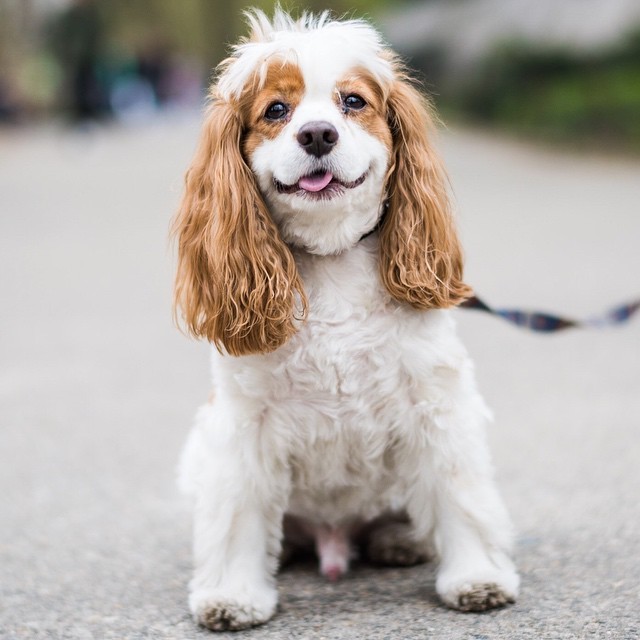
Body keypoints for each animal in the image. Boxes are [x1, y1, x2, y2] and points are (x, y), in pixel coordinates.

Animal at [171, 8, 520, 632]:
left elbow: (461, 496)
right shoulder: (242, 428)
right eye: (276, 111)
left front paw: (477, 577)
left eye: (352, 101)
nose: (317, 134)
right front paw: (233, 594)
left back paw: (400, 540)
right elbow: (235, 514)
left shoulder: (437, 408)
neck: (332, 257)